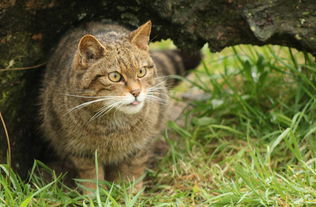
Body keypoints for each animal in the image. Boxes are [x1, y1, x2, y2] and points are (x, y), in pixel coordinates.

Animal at [38, 20, 199, 192]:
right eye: (114, 76)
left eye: (141, 72)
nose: (136, 92)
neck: (115, 124)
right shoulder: (81, 152)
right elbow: (91, 178)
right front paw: (95, 195)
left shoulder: (139, 148)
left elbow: (132, 172)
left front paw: (131, 192)